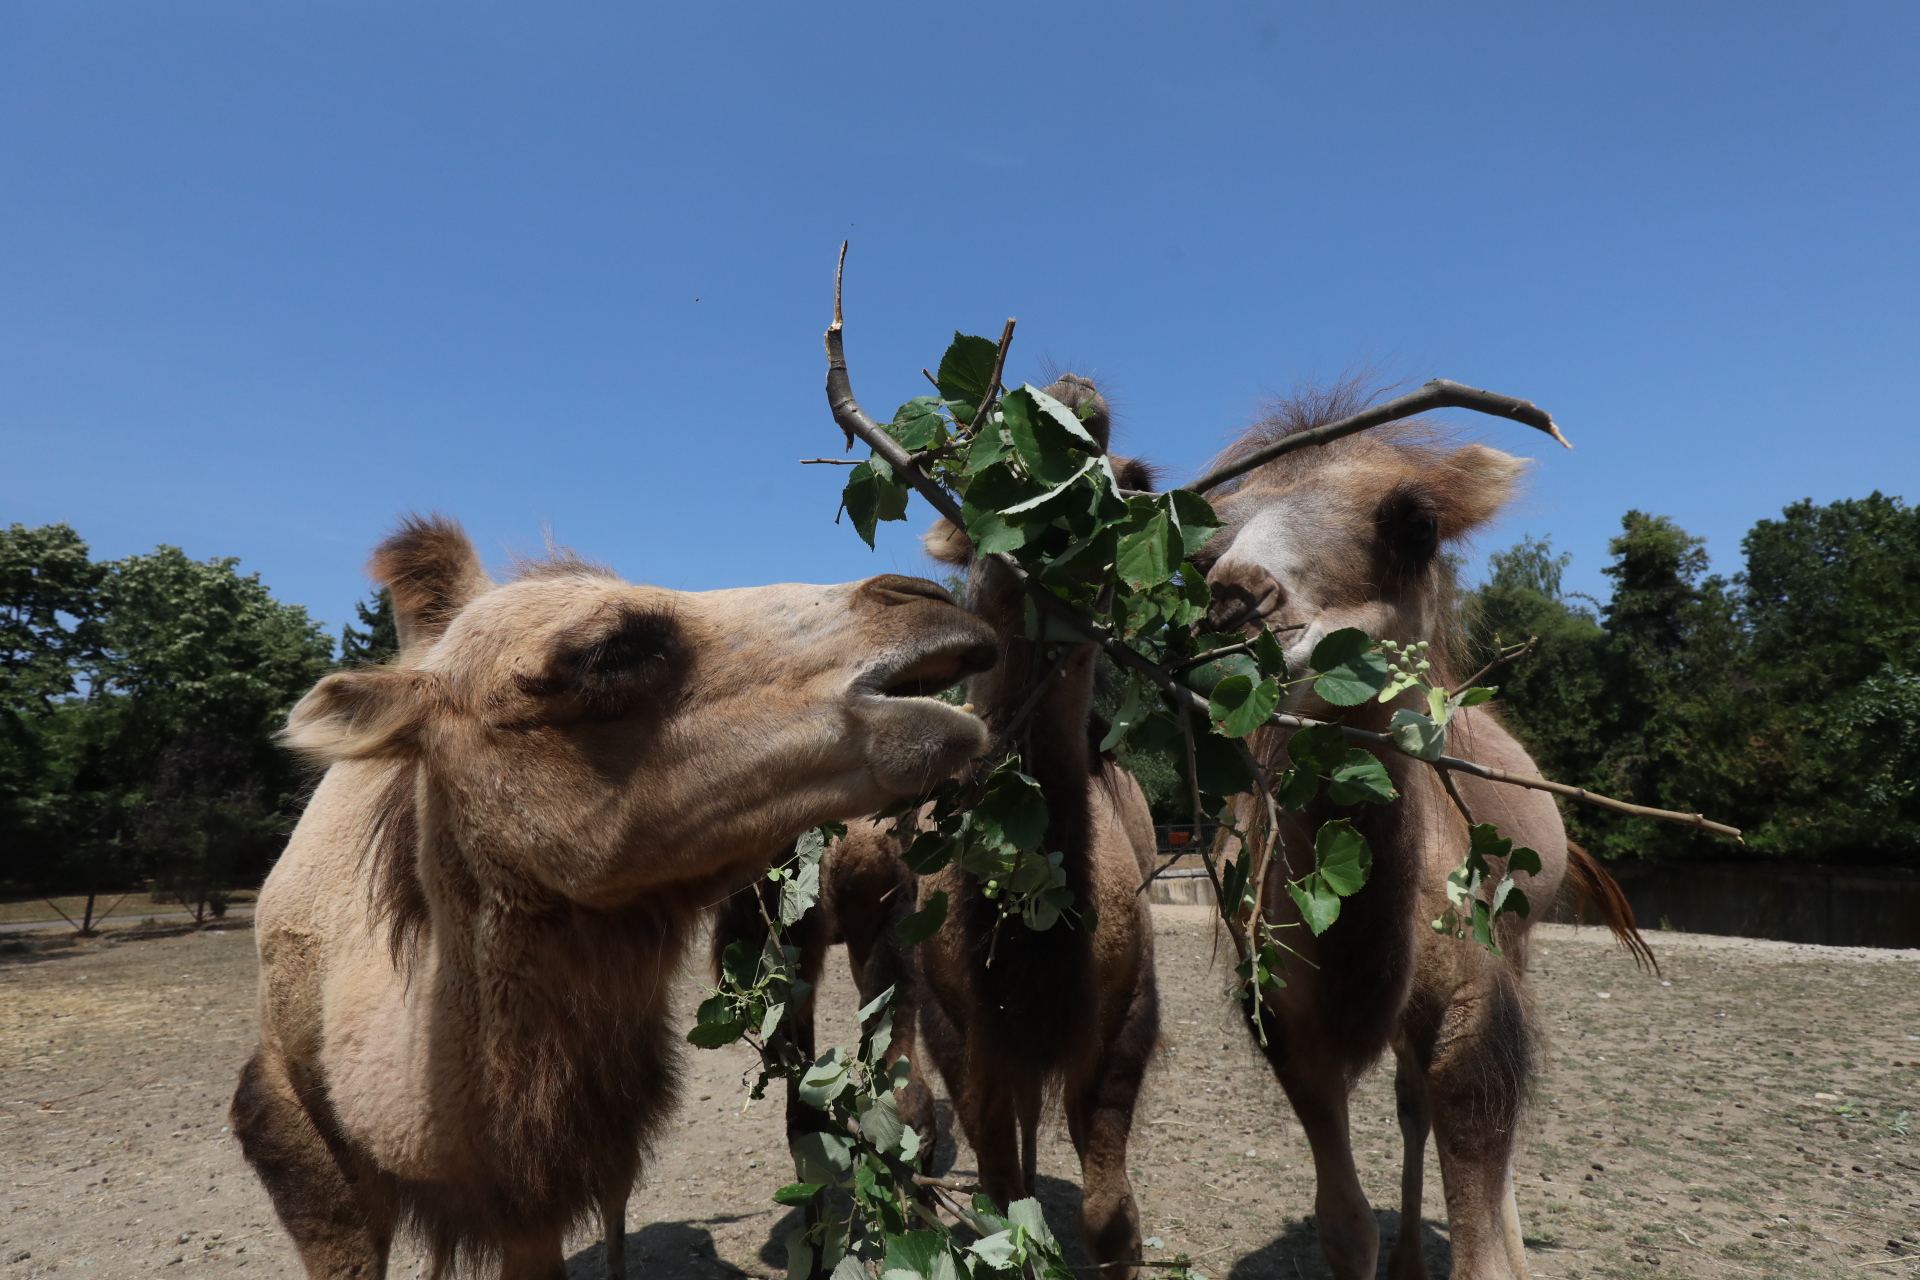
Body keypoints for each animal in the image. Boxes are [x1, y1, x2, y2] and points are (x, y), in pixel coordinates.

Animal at [1198, 402, 1651, 1280]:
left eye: (1417, 523)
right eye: (1207, 541)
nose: (1235, 598)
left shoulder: (1474, 1002)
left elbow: (1481, 1221)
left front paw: (1501, 1245)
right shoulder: (1287, 1019)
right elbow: (1344, 1226)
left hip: (1519, 940)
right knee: (1412, 1106)